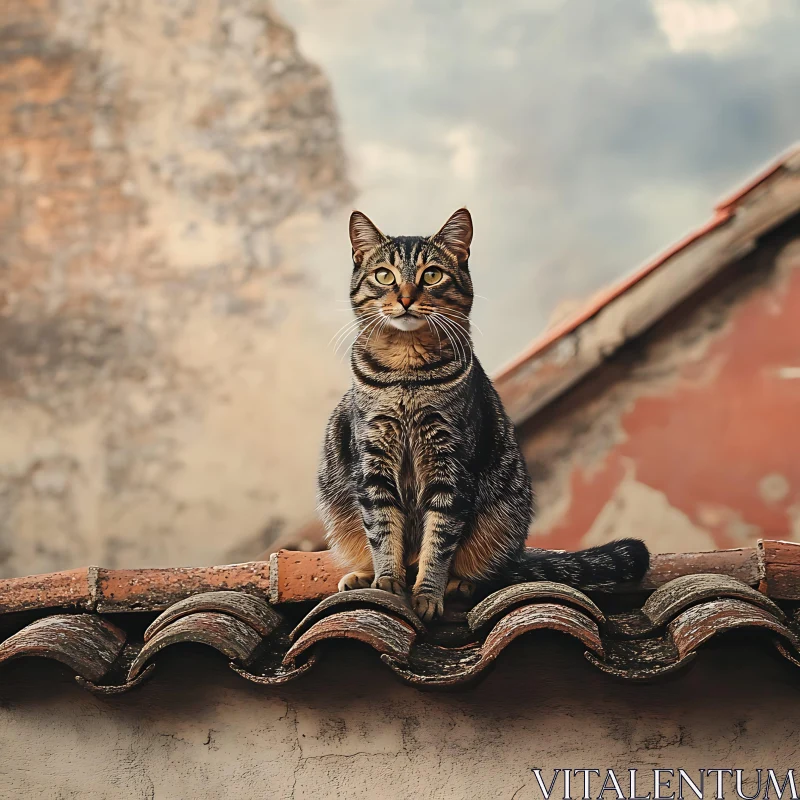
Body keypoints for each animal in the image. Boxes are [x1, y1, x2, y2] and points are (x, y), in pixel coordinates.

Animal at [316, 209, 648, 620]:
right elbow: (382, 529)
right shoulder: (374, 459)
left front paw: (428, 594)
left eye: (431, 275)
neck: (407, 372)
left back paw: (460, 583)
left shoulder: (451, 466)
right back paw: (363, 576)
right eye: (384, 275)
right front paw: (388, 580)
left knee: (486, 569)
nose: (406, 298)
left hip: (502, 520)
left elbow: (439, 541)